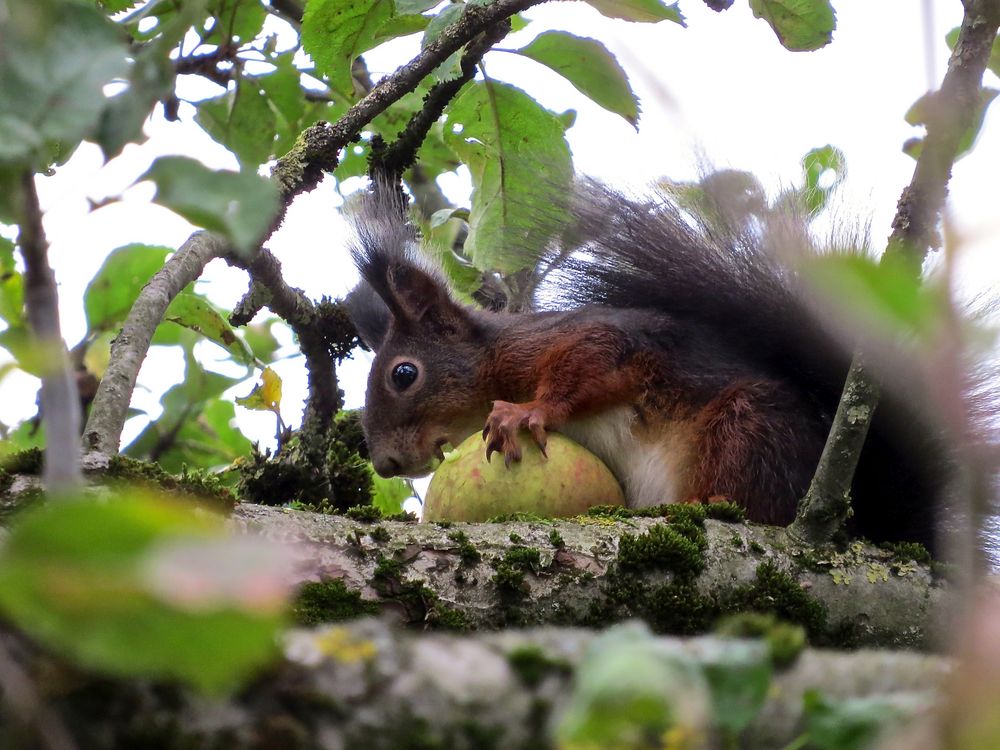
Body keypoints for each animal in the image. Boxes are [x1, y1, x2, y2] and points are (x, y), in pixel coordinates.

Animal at [346, 181, 944, 548]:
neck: (493, 355)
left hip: (751, 426)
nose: (386, 465)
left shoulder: (579, 343)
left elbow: (590, 363)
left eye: (403, 374)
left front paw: (525, 412)